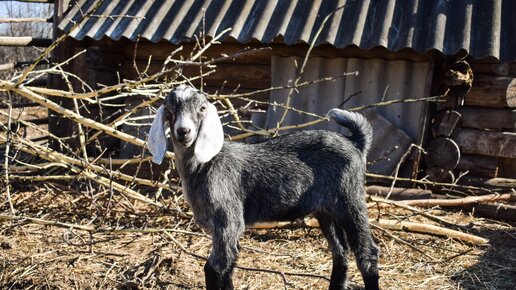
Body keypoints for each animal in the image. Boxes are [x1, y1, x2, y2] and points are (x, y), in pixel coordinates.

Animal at [148, 84, 378, 290]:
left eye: (202, 109)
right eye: (169, 110)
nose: (183, 131)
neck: (205, 164)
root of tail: (355, 143)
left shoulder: (227, 221)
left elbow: (215, 269)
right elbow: (229, 265)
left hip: (350, 199)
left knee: (367, 253)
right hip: (326, 210)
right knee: (340, 251)